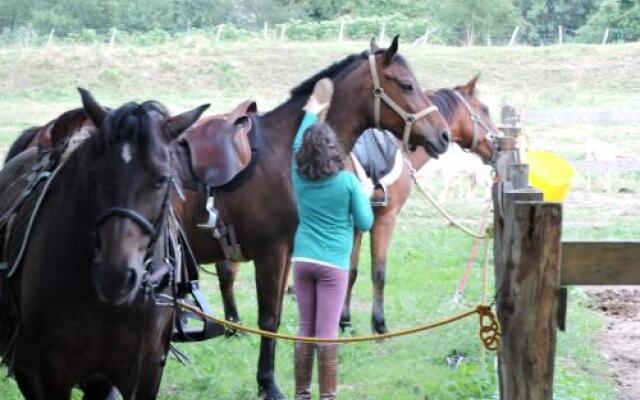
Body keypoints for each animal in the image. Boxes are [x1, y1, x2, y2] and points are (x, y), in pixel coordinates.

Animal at [171, 37, 450, 400]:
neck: (283, 153)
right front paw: (269, 384)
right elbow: (268, 320)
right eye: (406, 85)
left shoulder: (286, 254)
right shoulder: (270, 253)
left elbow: (278, 318)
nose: (443, 135)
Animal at [342, 75, 498, 334]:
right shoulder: (385, 218)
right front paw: (379, 326)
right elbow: (378, 272)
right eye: (484, 109)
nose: (499, 144)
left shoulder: (357, 223)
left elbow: (351, 271)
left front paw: (344, 322)